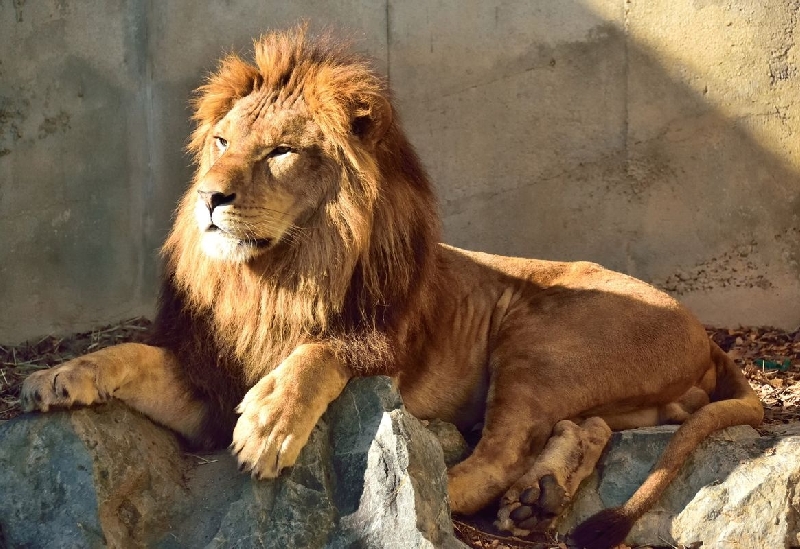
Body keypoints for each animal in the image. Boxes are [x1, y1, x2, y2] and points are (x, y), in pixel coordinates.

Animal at [23, 26, 764, 548]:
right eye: (222, 141)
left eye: (281, 151)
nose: (209, 197)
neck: (277, 276)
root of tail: (704, 335)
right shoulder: (210, 380)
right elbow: (132, 355)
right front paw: (59, 375)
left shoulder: (381, 344)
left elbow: (319, 352)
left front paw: (270, 422)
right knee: (588, 427)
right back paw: (541, 497)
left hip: (541, 336)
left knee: (494, 454)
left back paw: (441, 499)